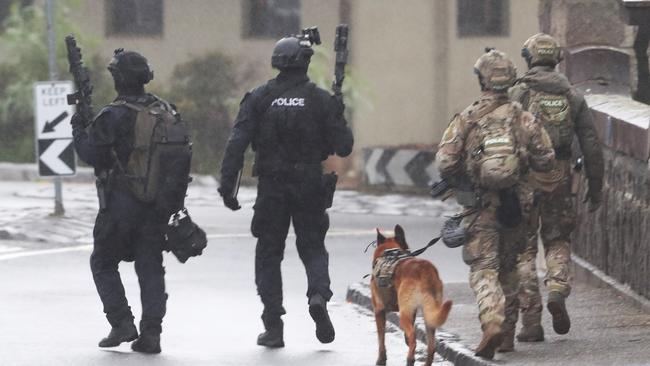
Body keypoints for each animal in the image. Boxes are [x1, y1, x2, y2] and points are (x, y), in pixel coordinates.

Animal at [370, 226, 450, 366]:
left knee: (413, 338)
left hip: (404, 314)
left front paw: (381, 360)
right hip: (428, 315)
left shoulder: (379, 311)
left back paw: (410, 359)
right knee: (431, 346)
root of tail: (425, 269)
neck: (389, 252)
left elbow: (381, 339)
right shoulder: (413, 312)